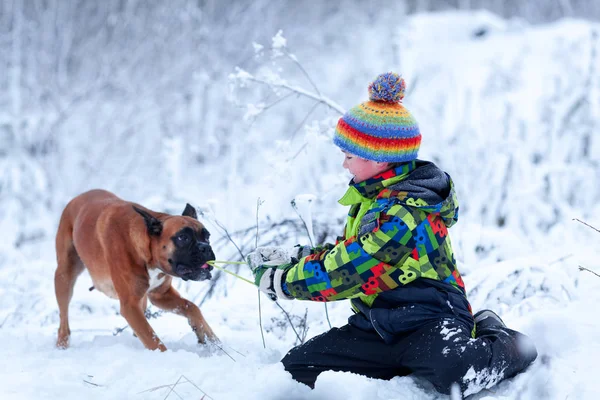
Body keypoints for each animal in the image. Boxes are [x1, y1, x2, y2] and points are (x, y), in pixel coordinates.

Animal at [54, 190, 218, 350]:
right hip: (64, 277)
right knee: (63, 322)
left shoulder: (161, 295)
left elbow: (192, 308)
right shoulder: (130, 306)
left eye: (207, 236)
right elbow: (153, 340)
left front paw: (212, 341)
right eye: (183, 237)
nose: (205, 248)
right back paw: (62, 344)